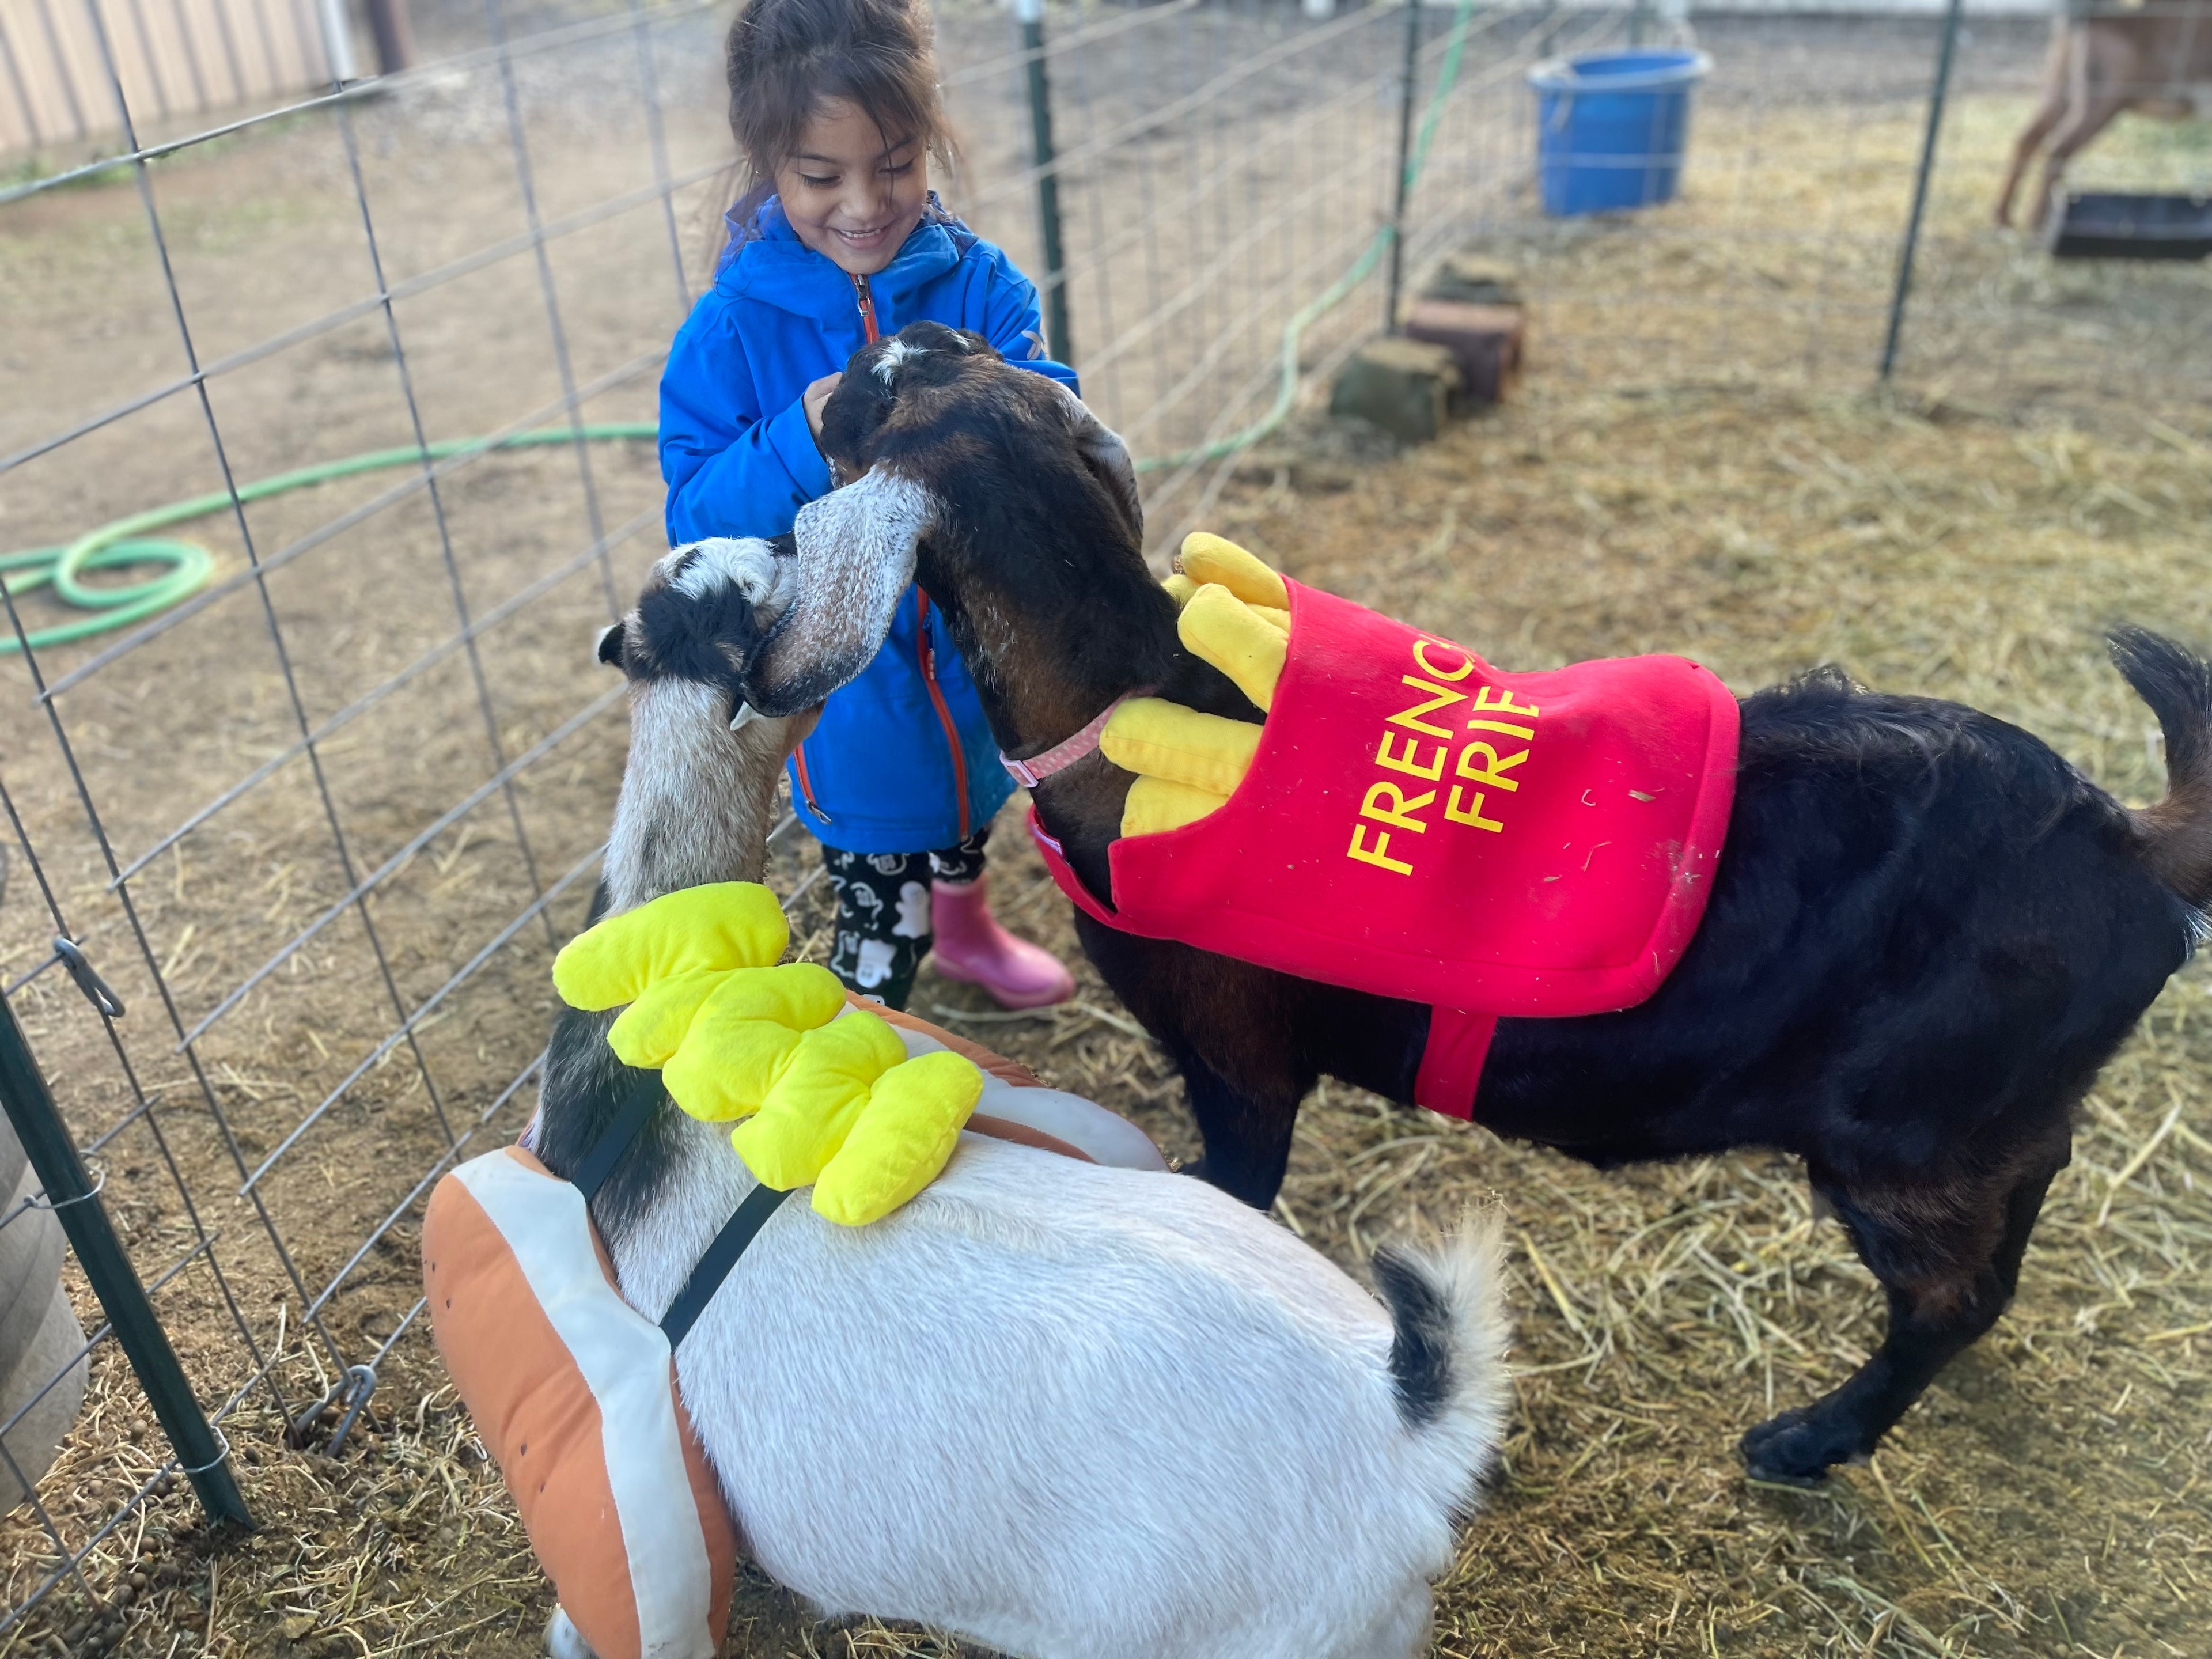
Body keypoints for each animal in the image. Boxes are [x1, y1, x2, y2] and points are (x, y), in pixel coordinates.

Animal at [738, 318, 2212, 1486]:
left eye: (874, 393)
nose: (874, 337)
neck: (1136, 693)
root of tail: (2130, 851)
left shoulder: (1239, 1057)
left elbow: (1232, 1191)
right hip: (1995, 1125)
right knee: (2005, 1249)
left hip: (1907, 1143)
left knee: (1947, 1298)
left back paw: (1809, 1440)